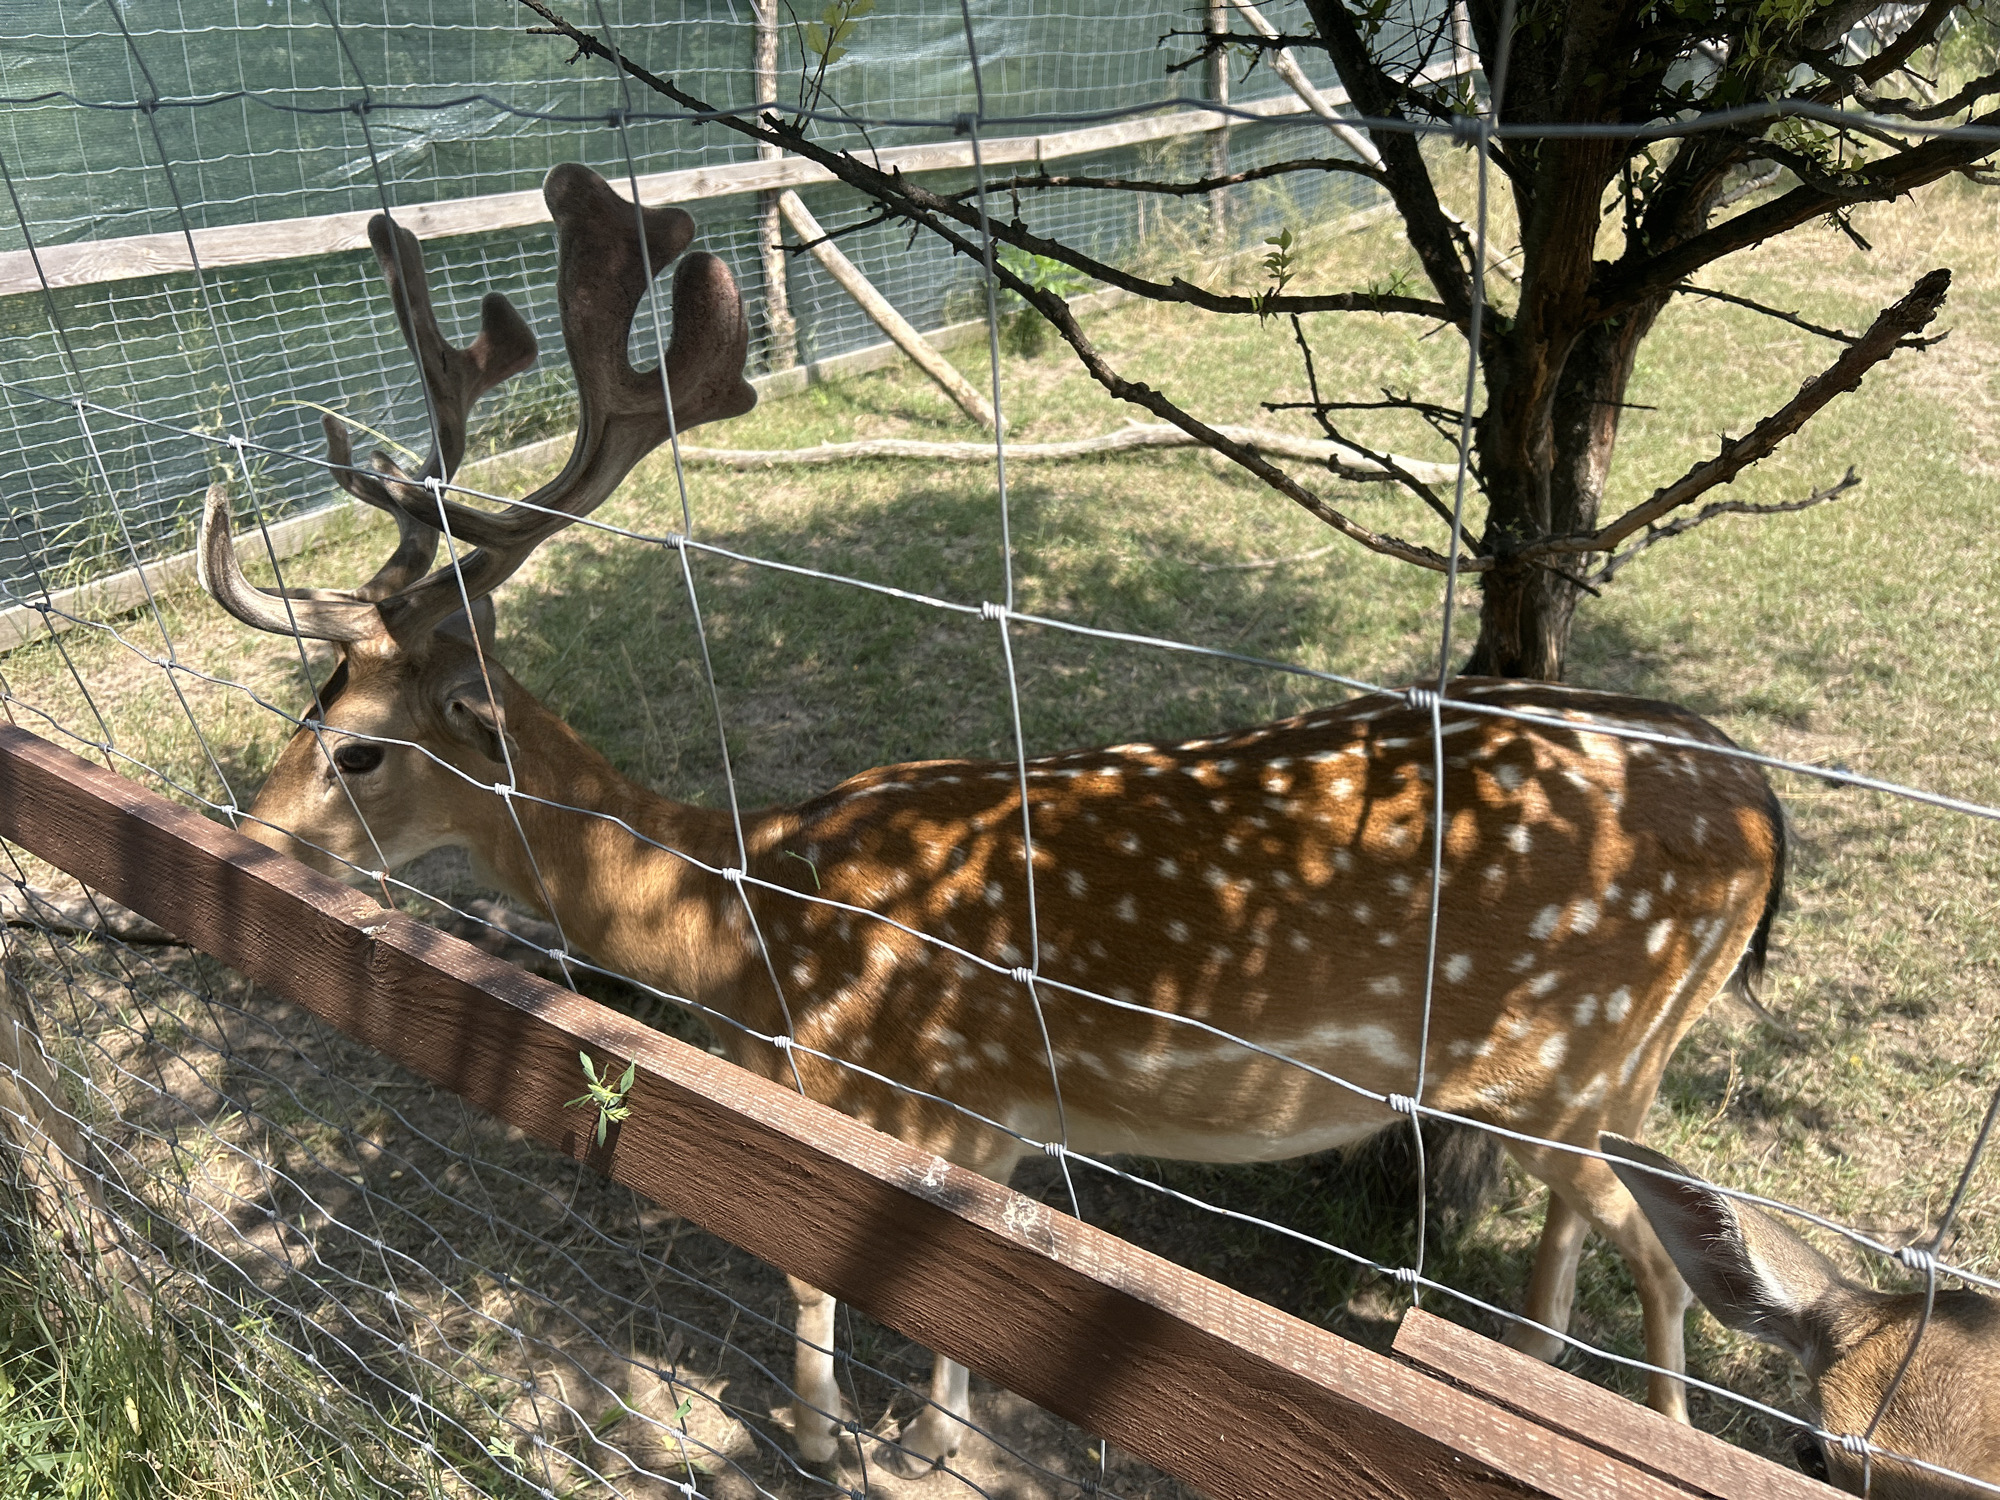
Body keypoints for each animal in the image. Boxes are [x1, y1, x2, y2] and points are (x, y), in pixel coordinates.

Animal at [197, 161, 1789, 1477]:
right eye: (302, 701)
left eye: (359, 748)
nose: (248, 833)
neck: (745, 929)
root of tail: (1759, 798)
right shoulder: (994, 1119)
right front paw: (924, 1433)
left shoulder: (900, 1090)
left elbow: (826, 1275)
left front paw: (836, 1441)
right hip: (1617, 1070)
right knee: (1635, 1240)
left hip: (1565, 1059)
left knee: (1634, 1250)